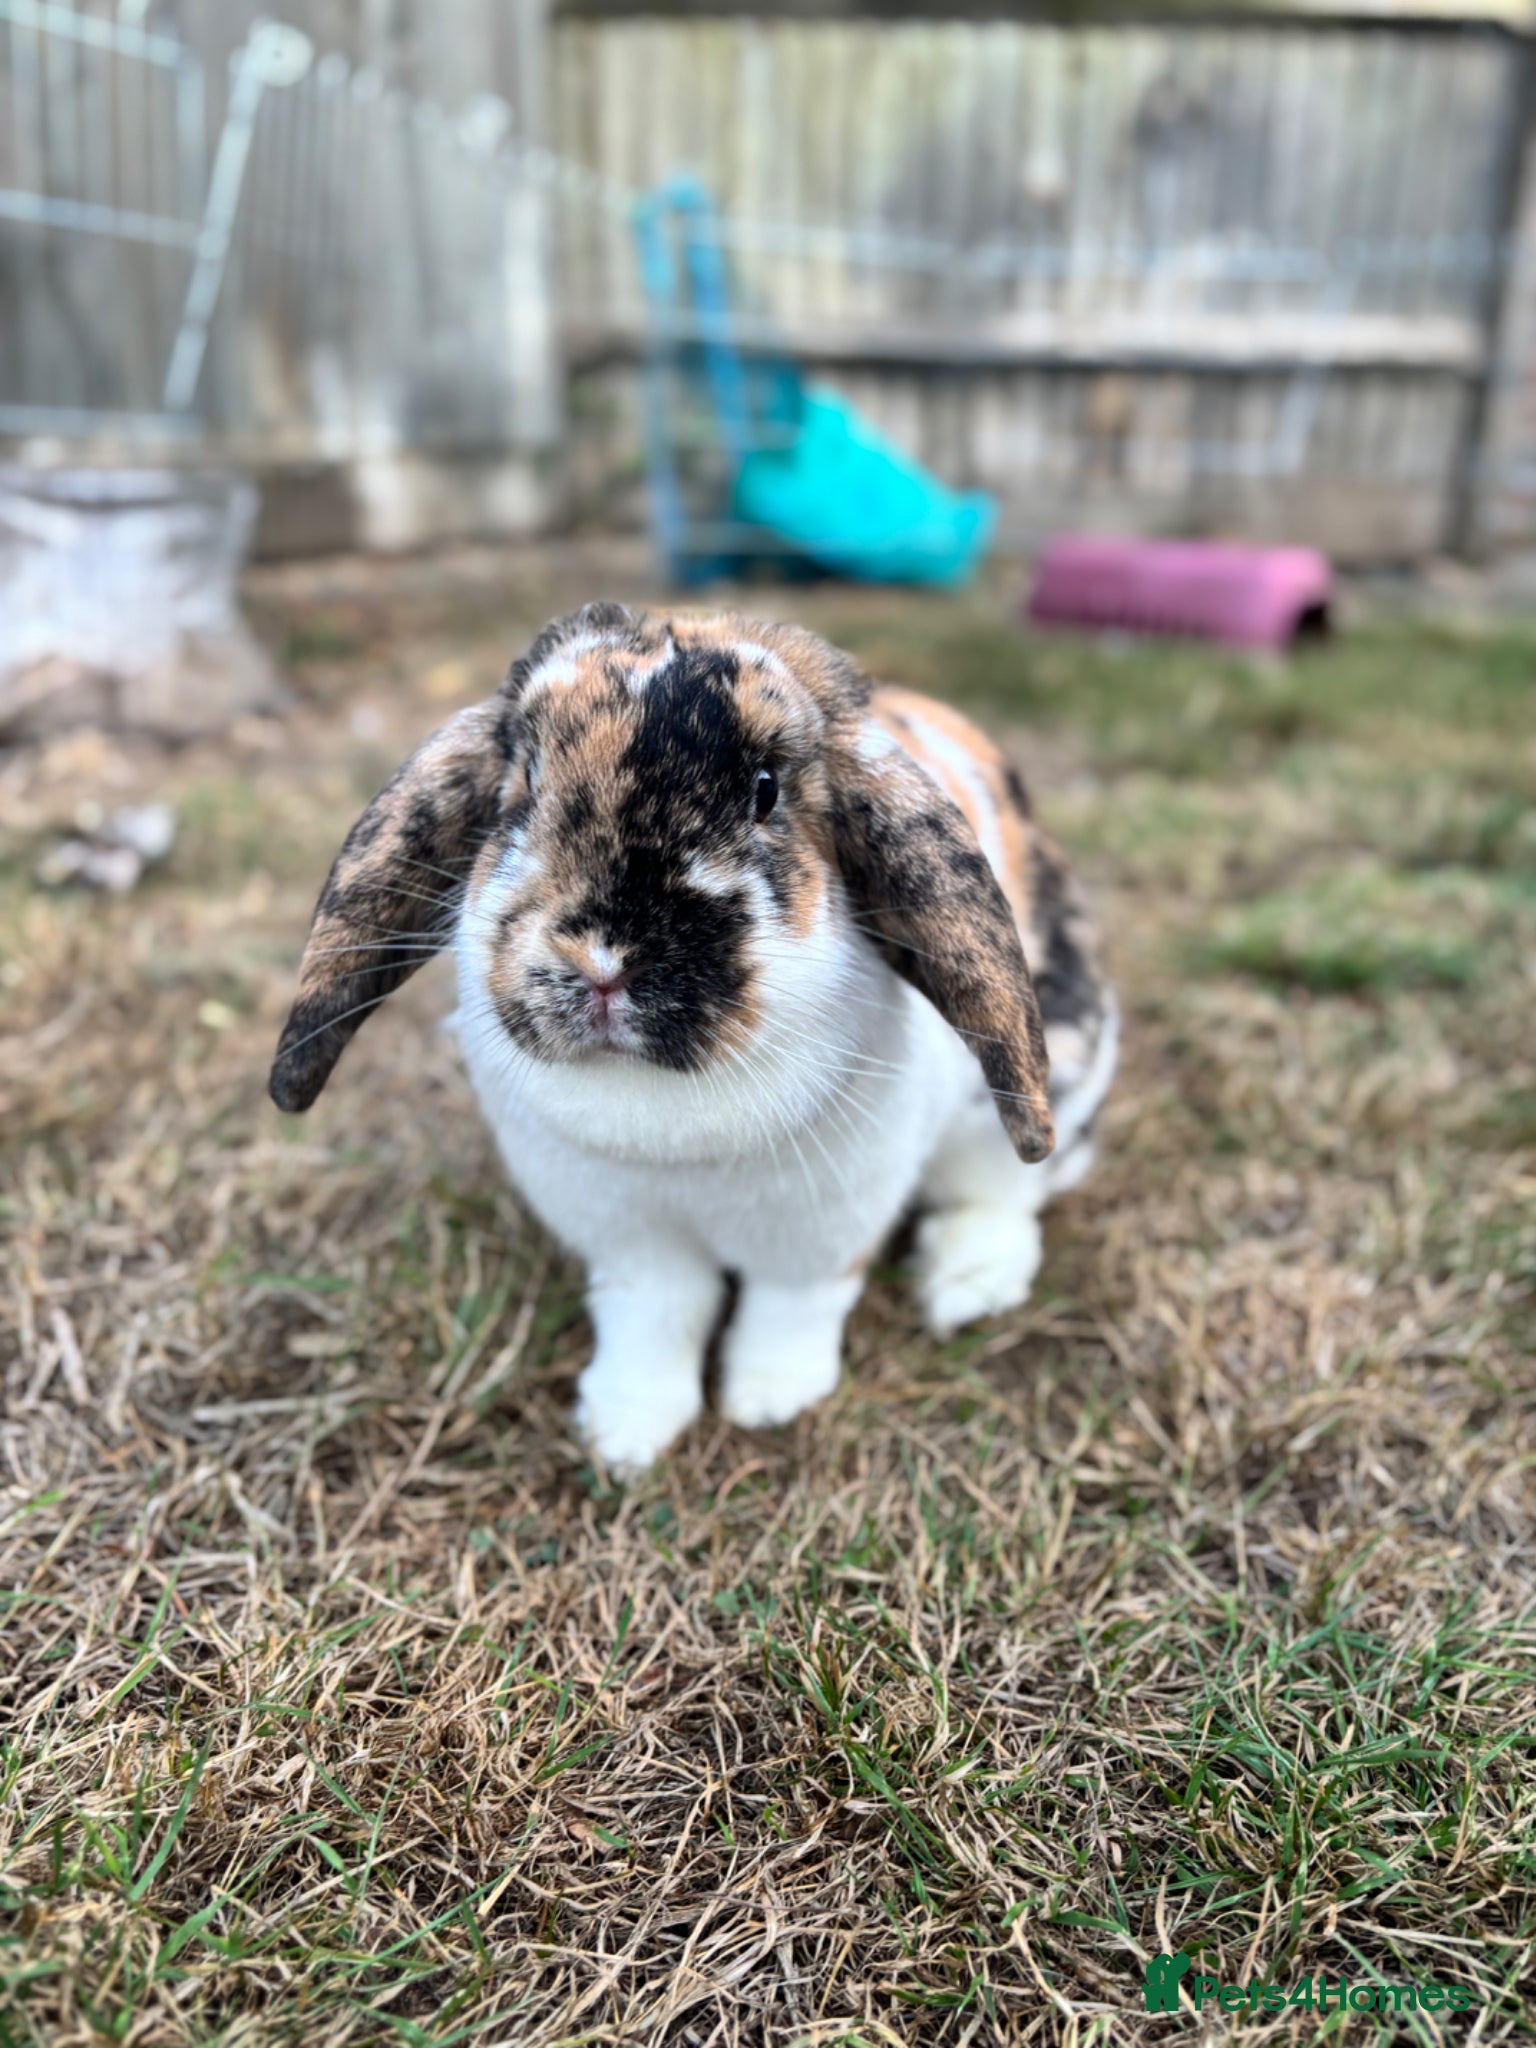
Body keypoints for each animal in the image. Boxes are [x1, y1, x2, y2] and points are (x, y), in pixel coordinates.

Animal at [270, 604, 1116, 1473]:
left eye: (764, 790)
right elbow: (655, 1318)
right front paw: (624, 1432)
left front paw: (768, 1401)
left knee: (1007, 1194)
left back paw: (965, 1287)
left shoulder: (820, 1233)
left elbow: (792, 1309)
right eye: (528, 781)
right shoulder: (627, 1242)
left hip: (1037, 1088)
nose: (604, 957)